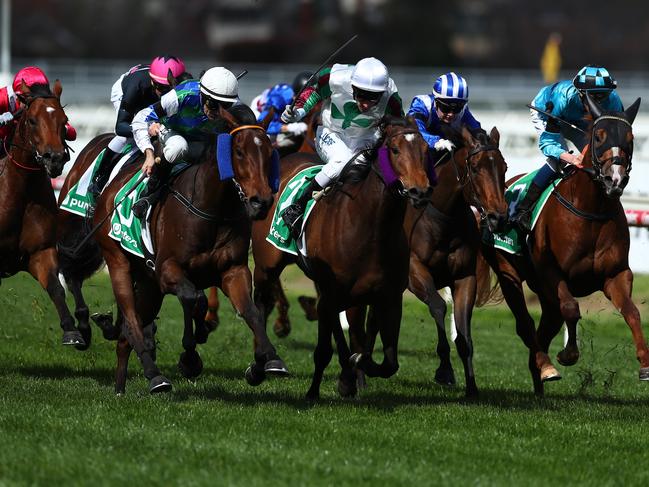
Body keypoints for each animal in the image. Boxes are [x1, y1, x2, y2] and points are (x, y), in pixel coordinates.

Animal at [0, 81, 86, 346]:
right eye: (32, 121)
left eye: (64, 120)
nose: (55, 159)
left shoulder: (40, 251)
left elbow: (56, 287)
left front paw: (72, 331)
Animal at [59, 106, 288, 392]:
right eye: (238, 151)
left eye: (269, 152)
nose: (262, 202)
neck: (212, 209)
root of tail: (110, 192)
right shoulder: (167, 271)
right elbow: (193, 299)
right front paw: (190, 358)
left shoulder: (233, 270)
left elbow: (251, 312)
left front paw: (269, 359)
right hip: (118, 262)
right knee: (131, 321)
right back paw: (155, 375)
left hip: (148, 284)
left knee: (126, 335)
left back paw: (121, 386)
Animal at [251, 116, 432, 398]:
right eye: (395, 150)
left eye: (426, 150)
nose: (419, 191)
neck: (372, 227)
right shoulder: (334, 291)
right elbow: (329, 345)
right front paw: (328, 386)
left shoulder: (389, 297)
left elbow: (388, 361)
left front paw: (358, 367)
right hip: (266, 265)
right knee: (260, 304)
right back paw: (261, 365)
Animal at [476, 95, 648, 396]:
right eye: (599, 136)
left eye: (630, 138)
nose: (614, 180)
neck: (591, 210)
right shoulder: (551, 272)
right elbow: (571, 308)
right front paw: (568, 354)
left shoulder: (615, 274)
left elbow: (632, 312)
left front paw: (645, 364)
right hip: (508, 270)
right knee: (526, 325)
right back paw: (546, 368)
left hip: (544, 295)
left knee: (543, 331)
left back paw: (540, 382)